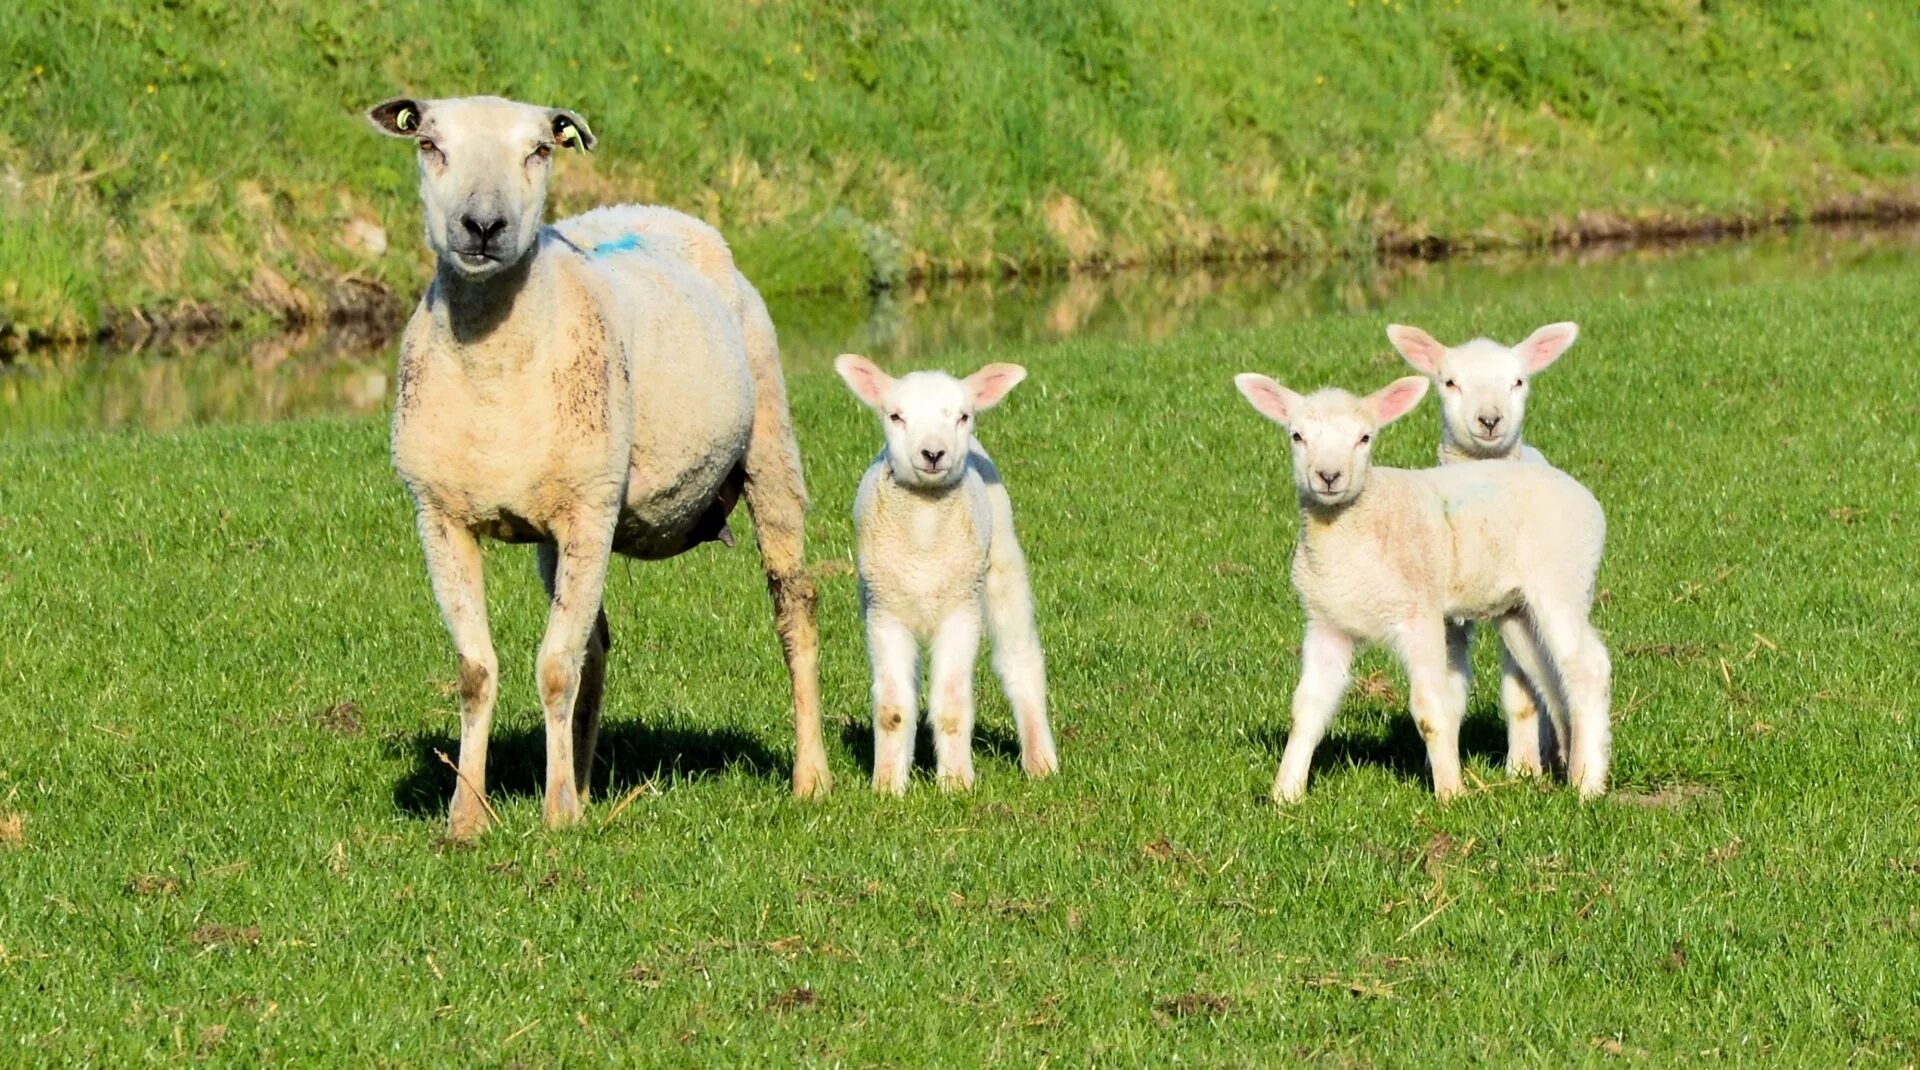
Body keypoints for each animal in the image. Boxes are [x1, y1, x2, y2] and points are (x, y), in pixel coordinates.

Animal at [366, 96, 833, 837]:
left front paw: (557, 817)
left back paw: (811, 778)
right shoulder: (440, 516)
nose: (483, 226)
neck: (493, 373)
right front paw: (467, 819)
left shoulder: (588, 509)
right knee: (595, 644)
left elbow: (554, 667)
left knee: (794, 606)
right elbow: (478, 670)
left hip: (769, 450)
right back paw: (583, 781)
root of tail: (653, 210)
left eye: (538, 150)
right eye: (429, 145)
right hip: (567, 523)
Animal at [833, 355, 1059, 787]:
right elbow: (892, 710)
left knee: (1020, 660)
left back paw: (1041, 761)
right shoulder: (884, 615)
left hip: (1001, 561)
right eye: (896, 415)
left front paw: (956, 783)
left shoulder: (961, 612)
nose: (933, 453)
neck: (924, 541)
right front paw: (887, 786)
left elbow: (952, 707)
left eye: (963, 415)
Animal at [1228, 370, 1620, 795]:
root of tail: (1583, 495)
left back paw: (1587, 784)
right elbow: (1306, 709)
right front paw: (1285, 793)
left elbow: (1432, 709)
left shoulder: (1419, 615)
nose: (1329, 477)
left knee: (1587, 665)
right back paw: (1567, 763)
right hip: (1517, 610)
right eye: (1297, 436)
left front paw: (1451, 791)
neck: (1352, 529)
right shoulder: (1327, 622)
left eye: (1365, 438)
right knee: (1549, 673)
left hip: (1562, 578)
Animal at [1390, 318, 1582, 776]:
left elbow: (1522, 694)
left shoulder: (1513, 605)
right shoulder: (1447, 619)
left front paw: (1522, 770)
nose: (1490, 419)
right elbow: (1449, 693)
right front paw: (1439, 764)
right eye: (1449, 382)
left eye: (1518, 381)